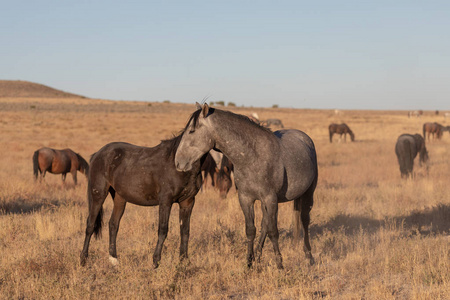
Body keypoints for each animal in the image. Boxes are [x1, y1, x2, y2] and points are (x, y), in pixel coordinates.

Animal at [80, 135, 207, 268]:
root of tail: (97, 154)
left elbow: (185, 231)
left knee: (113, 224)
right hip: (98, 195)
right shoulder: (165, 202)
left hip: (119, 198)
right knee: (90, 225)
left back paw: (114, 260)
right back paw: (83, 259)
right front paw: (156, 261)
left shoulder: (188, 202)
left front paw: (184, 262)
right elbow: (163, 229)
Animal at [174, 103, 318, 270]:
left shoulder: (270, 199)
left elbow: (273, 231)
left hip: (308, 193)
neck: (252, 156)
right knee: (265, 223)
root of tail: (305, 138)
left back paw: (309, 256)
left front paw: (280, 264)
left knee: (304, 220)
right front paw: (249, 262)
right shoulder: (246, 198)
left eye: (191, 131)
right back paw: (259, 255)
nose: (178, 162)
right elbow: (251, 229)